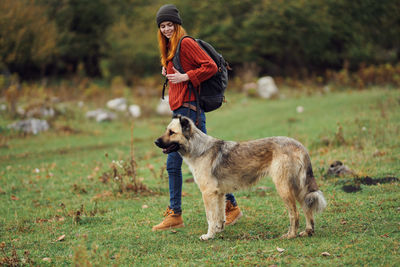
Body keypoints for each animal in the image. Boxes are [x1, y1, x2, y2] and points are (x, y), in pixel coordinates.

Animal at [155, 115, 326, 241]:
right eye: (166, 130)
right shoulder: (219, 194)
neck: (199, 149)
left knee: (295, 213)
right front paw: (218, 230)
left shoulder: (208, 193)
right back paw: (308, 231)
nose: (156, 141)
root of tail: (299, 145)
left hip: (284, 188)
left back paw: (290, 235)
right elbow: (219, 215)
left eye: (172, 132)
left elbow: (210, 217)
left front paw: (208, 236)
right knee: (307, 208)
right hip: (298, 188)